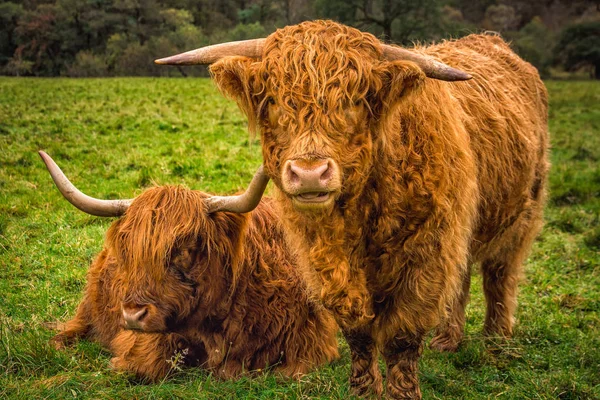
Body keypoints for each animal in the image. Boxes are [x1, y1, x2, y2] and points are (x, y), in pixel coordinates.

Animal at [39, 152, 340, 382]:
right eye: (128, 251)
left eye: (184, 249)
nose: (133, 315)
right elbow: (145, 363)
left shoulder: (312, 340)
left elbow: (288, 372)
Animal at [157, 20, 552, 398]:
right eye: (272, 100)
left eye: (355, 101)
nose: (310, 173)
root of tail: (490, 40)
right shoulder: (324, 263)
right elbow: (358, 332)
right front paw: (362, 389)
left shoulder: (427, 257)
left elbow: (402, 339)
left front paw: (402, 393)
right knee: (465, 274)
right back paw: (447, 340)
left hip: (522, 214)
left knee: (499, 274)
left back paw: (496, 340)